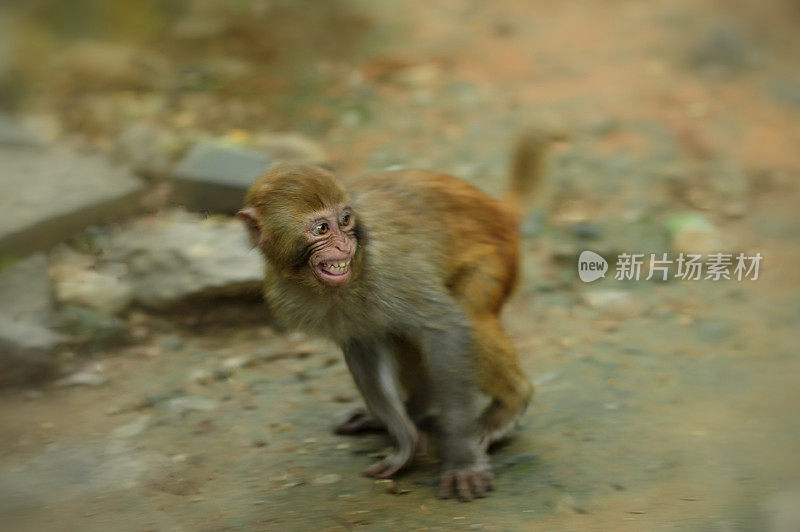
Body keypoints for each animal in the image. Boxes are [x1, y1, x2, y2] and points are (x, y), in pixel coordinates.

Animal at [239, 129, 556, 502]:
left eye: (344, 221)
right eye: (321, 229)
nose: (345, 246)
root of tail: (496, 207)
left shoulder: (389, 270)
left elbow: (446, 327)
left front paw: (461, 457)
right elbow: (363, 344)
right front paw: (404, 440)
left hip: (497, 258)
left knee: (468, 315)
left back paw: (510, 403)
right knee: (404, 337)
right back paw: (414, 409)